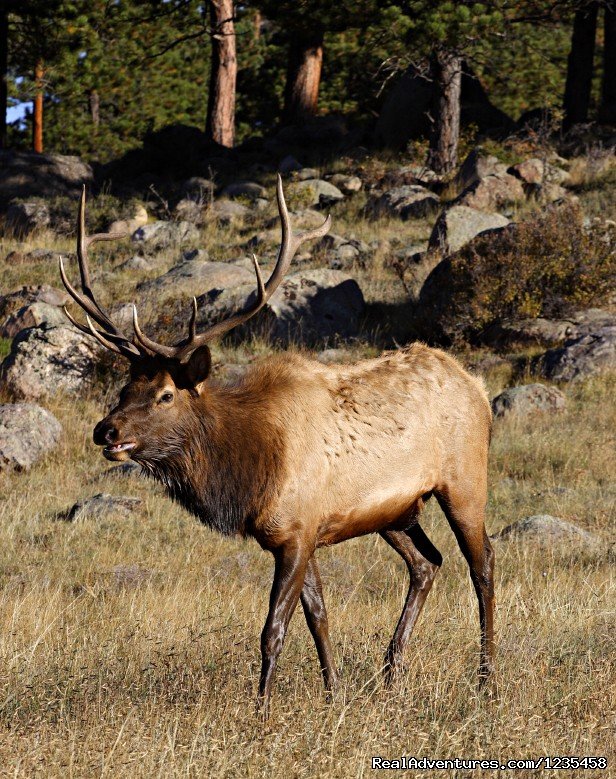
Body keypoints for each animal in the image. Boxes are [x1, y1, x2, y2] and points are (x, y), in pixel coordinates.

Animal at [59, 180, 496, 716]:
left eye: (164, 394)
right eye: (124, 388)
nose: (106, 431)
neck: (249, 473)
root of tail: (478, 387)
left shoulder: (296, 532)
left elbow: (273, 630)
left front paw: (261, 710)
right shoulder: (297, 533)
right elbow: (318, 616)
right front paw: (335, 695)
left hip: (464, 480)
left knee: (482, 564)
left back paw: (486, 681)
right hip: (396, 511)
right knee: (426, 563)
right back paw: (391, 674)